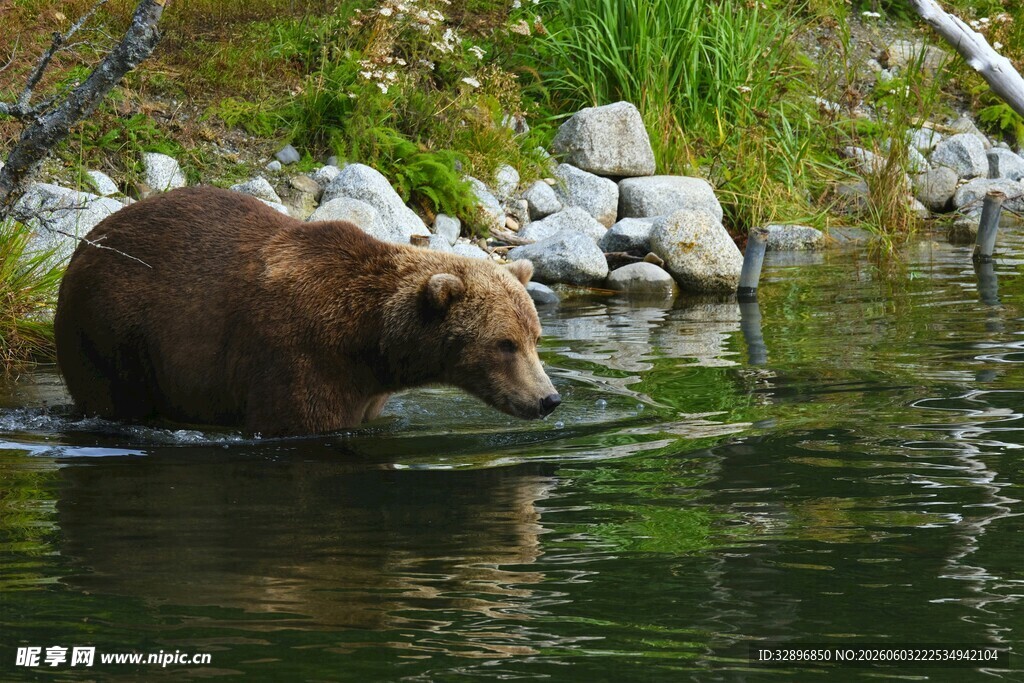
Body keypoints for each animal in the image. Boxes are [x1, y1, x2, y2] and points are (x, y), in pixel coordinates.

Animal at [53, 186, 561, 436]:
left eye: (534, 338)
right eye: (504, 344)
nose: (548, 398)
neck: (369, 341)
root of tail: (86, 243)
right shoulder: (303, 359)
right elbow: (296, 420)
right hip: (112, 329)